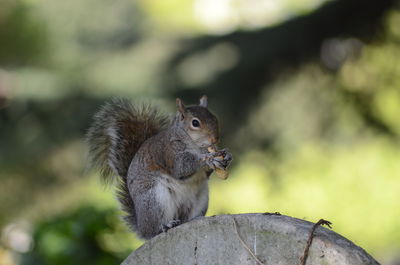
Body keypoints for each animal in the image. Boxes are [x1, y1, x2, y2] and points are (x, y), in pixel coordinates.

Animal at [86, 95, 233, 239]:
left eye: (214, 118)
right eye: (195, 123)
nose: (215, 140)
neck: (196, 145)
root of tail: (141, 227)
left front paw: (226, 157)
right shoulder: (168, 152)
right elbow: (182, 167)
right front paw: (209, 158)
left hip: (200, 199)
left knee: (186, 219)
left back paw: (195, 219)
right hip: (155, 199)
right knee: (154, 230)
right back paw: (165, 226)